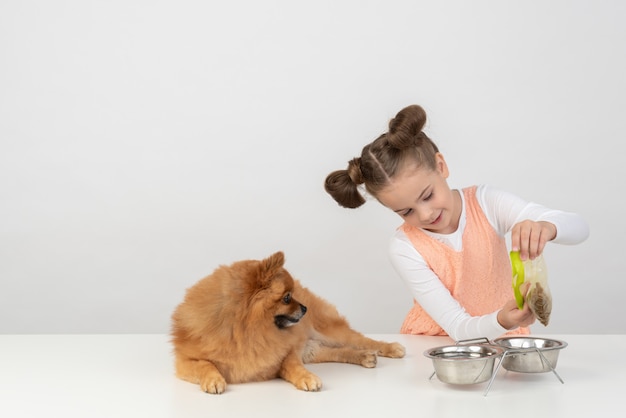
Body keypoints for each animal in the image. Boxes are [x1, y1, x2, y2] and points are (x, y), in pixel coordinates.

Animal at [171, 251, 404, 396]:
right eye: (286, 297)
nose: (305, 308)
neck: (246, 330)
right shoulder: (185, 362)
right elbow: (205, 364)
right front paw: (214, 379)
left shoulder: (286, 353)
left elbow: (292, 366)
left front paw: (307, 377)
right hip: (313, 350)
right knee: (339, 352)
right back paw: (364, 357)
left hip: (328, 331)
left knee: (363, 340)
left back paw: (390, 348)